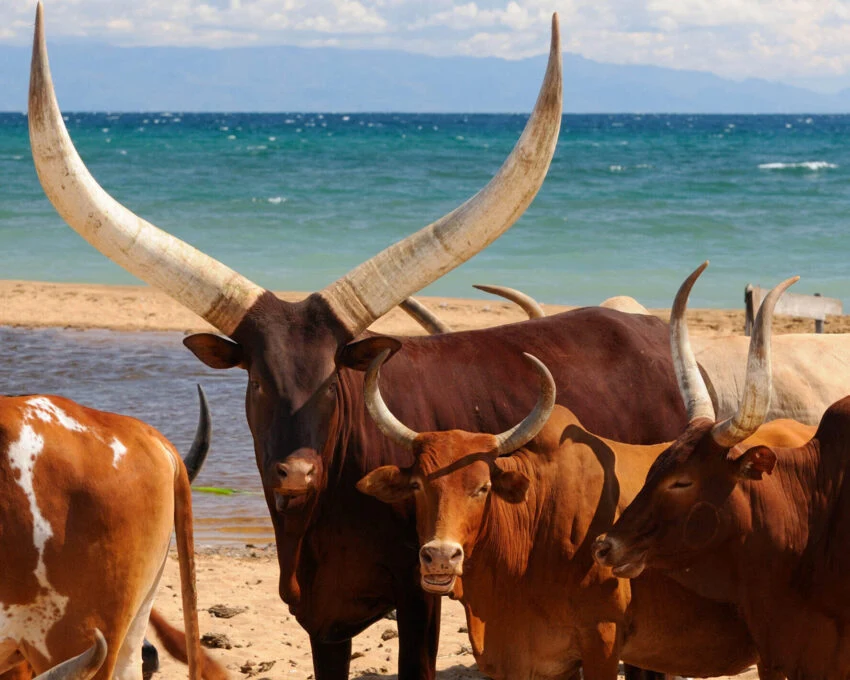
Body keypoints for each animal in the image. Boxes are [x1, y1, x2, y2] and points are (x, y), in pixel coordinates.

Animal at [29, 7, 721, 678]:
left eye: (333, 381)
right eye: (258, 379)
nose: (298, 471)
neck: (321, 514)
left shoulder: (420, 595)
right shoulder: (320, 617)